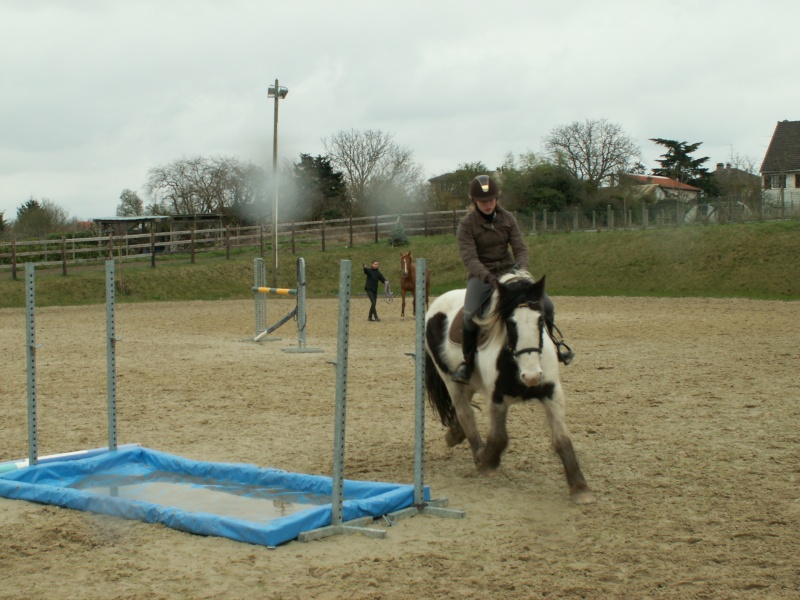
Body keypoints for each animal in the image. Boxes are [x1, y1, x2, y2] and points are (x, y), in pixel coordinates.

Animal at [424, 270, 592, 502]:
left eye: (541, 320)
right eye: (510, 324)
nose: (531, 377)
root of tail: (438, 302)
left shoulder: (552, 393)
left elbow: (562, 439)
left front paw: (580, 488)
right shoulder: (497, 397)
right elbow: (499, 438)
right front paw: (487, 462)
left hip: (469, 382)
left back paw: (454, 435)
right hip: (451, 380)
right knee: (465, 412)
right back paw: (475, 451)